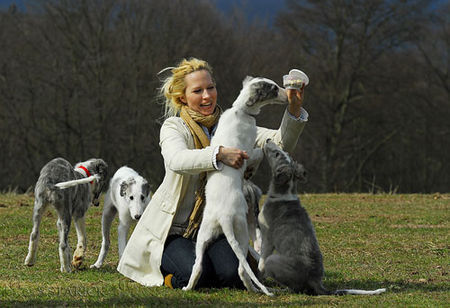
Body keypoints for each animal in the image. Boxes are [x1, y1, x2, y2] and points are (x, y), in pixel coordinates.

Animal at [181, 76, 286, 294]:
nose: (288, 97)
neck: (241, 111)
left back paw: (188, 287)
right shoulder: (247, 152)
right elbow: (260, 152)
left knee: (198, 266)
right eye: (274, 88)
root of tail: (224, 217)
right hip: (242, 231)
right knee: (241, 269)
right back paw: (254, 289)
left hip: (203, 235)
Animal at [258, 140, 384, 296]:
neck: (283, 193)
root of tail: (316, 281)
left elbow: (261, 259)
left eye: (277, 154)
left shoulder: (267, 238)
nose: (268, 139)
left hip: (273, 260)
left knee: (296, 288)